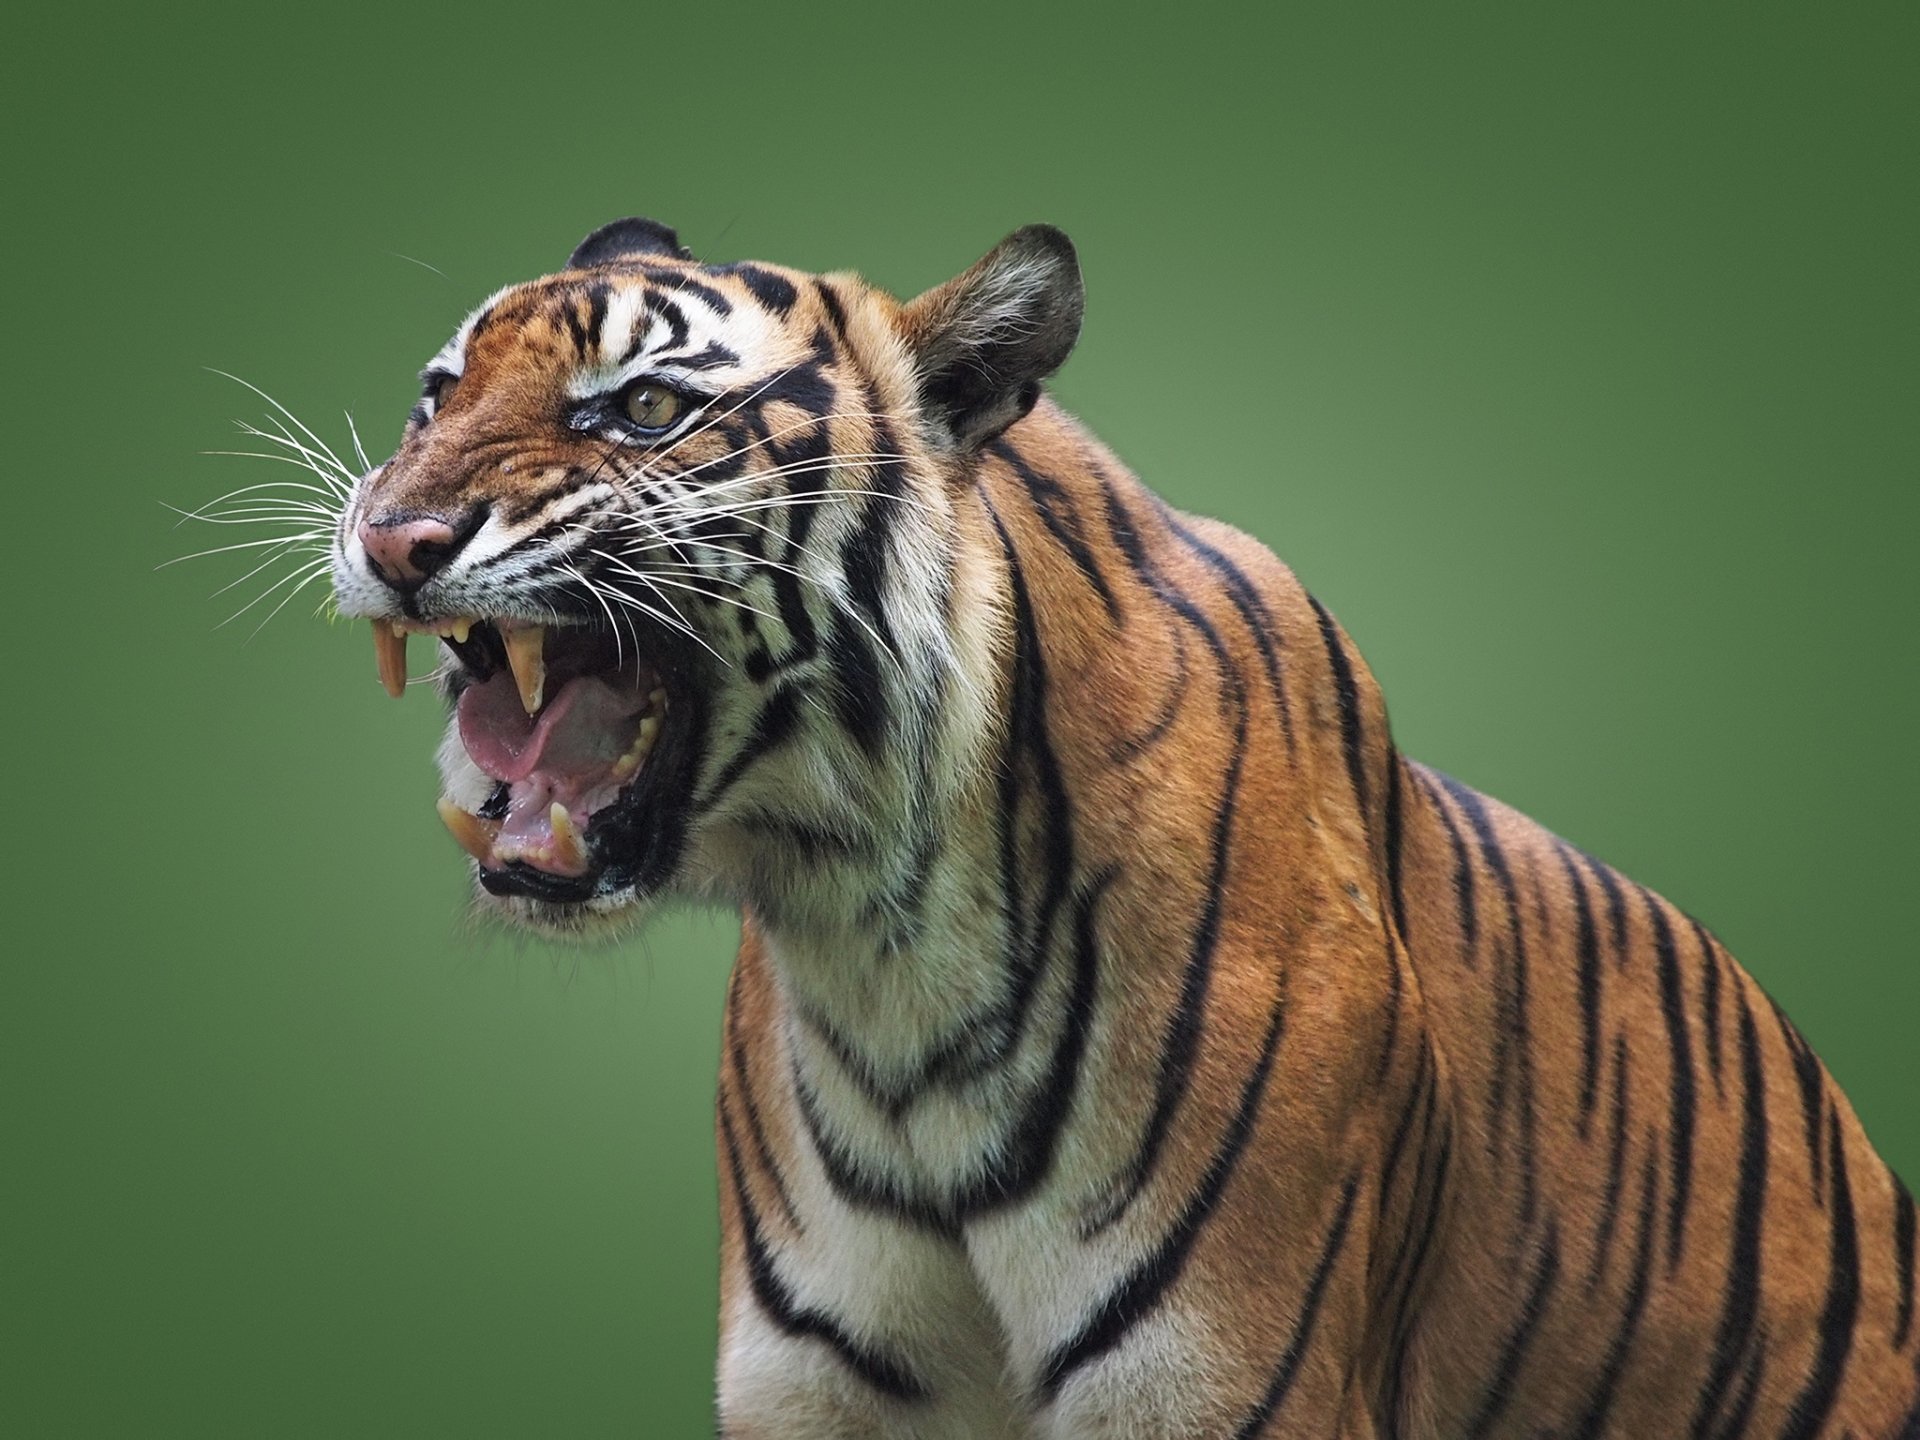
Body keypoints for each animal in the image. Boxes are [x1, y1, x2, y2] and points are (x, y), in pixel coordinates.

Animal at [322, 217, 1919, 1437]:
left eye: (645, 409)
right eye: (434, 396)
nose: (392, 536)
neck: (883, 952)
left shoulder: (1225, 1377)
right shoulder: (816, 1387)